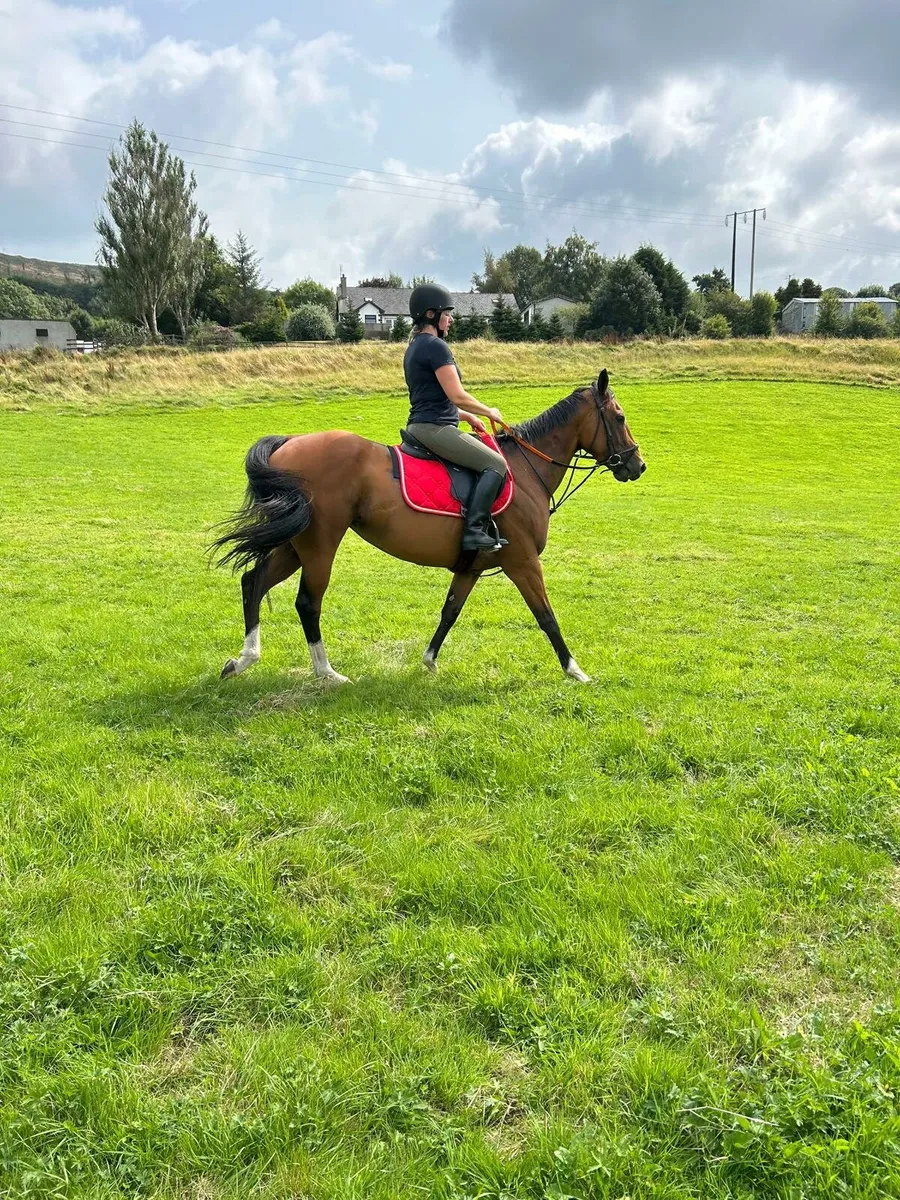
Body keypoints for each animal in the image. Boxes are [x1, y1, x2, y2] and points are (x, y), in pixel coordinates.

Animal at [212, 368, 645, 685]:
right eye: (620, 417)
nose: (637, 465)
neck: (525, 471)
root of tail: (290, 443)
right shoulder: (522, 562)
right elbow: (546, 616)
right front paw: (575, 670)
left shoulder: (472, 567)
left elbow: (449, 611)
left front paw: (429, 661)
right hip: (320, 544)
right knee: (307, 602)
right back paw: (327, 673)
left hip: (294, 542)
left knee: (254, 580)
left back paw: (244, 660)